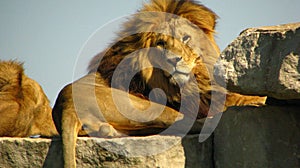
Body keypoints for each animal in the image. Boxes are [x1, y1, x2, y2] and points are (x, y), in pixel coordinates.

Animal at [52, 0, 266, 167]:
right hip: (150, 108)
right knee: (192, 122)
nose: (173, 60)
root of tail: (66, 105)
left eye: (185, 38)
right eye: (161, 43)